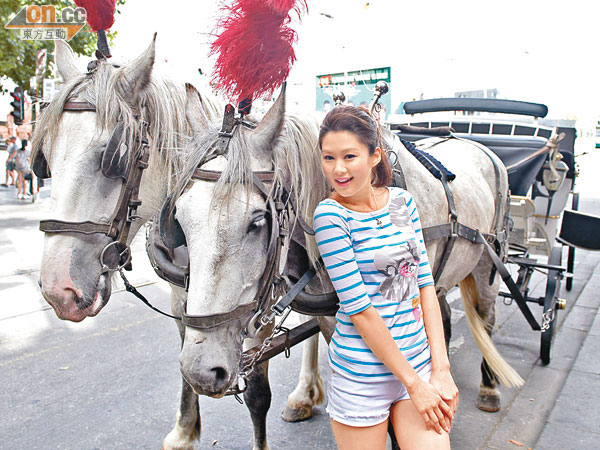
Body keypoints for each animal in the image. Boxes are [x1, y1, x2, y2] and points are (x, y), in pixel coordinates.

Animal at [170, 83, 524, 446]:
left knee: (486, 317)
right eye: (179, 218)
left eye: (257, 221)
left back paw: (489, 387)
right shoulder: (324, 317)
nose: (200, 370)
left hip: (489, 262)